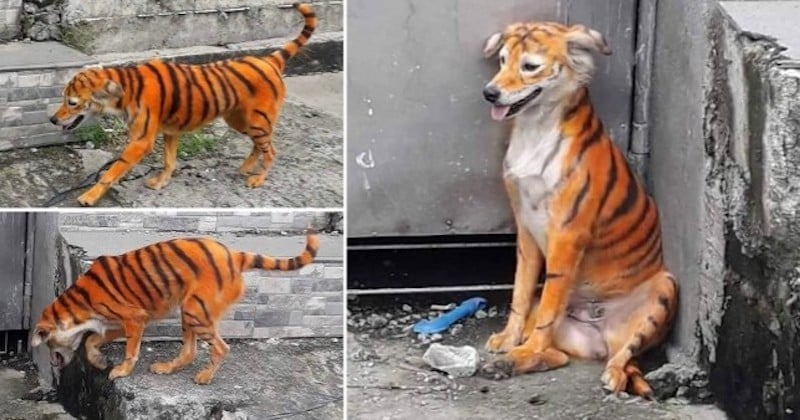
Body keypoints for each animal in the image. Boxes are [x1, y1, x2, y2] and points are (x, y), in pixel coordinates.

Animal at [478, 22, 680, 398]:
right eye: (501, 60)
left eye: (529, 66)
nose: (489, 93)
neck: (535, 128)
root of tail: (600, 332)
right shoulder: (525, 230)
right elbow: (520, 293)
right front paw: (509, 340)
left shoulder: (566, 234)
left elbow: (548, 308)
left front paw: (523, 347)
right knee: (557, 356)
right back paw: (508, 363)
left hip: (665, 288)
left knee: (623, 358)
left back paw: (608, 376)